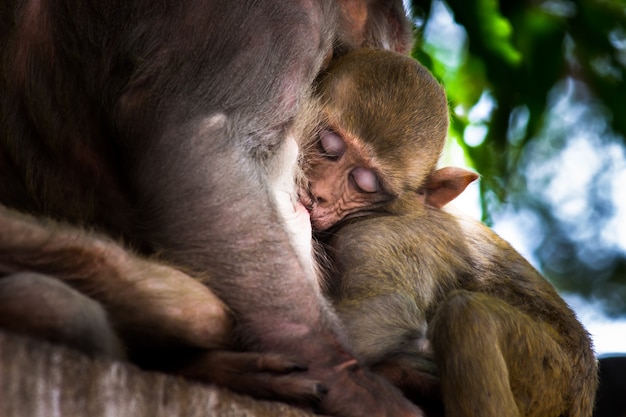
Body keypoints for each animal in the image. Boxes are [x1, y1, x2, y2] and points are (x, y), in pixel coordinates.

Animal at [302, 49, 596, 416]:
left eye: (364, 182)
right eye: (330, 145)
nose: (320, 194)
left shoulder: (382, 238)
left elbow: (387, 311)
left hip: (550, 379)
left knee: (467, 316)